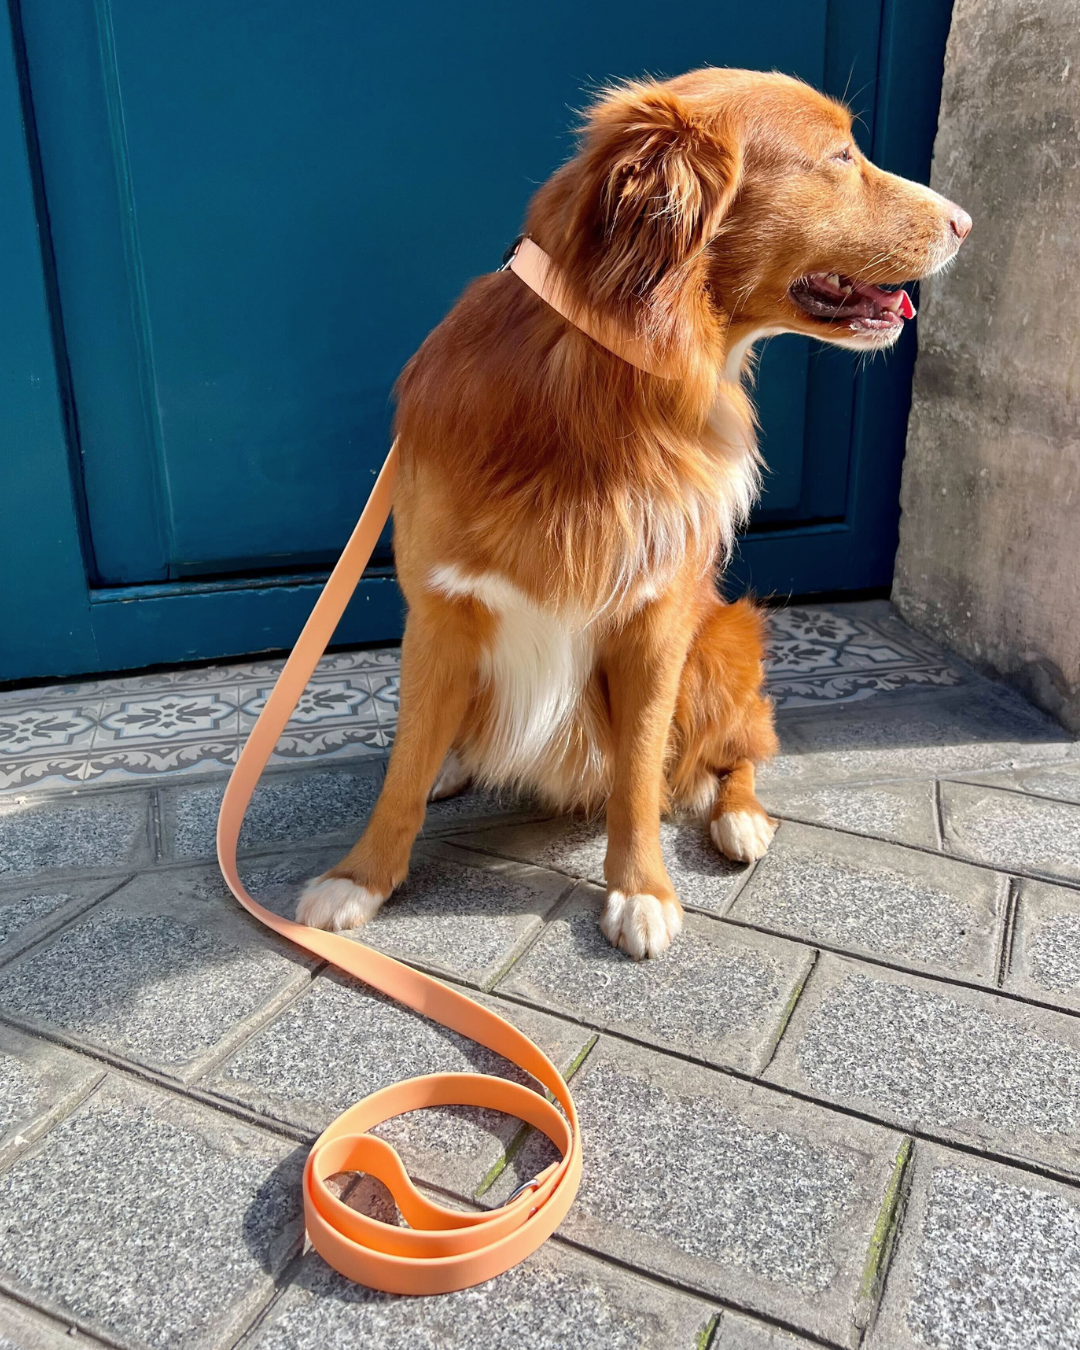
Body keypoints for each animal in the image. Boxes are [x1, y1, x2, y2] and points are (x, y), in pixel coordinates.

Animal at [295, 71, 972, 961]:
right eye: (838, 157)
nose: (966, 221)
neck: (603, 373)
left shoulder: (657, 621)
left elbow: (640, 771)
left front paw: (641, 889)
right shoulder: (440, 609)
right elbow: (404, 765)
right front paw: (361, 877)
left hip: (724, 639)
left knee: (741, 748)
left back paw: (741, 818)